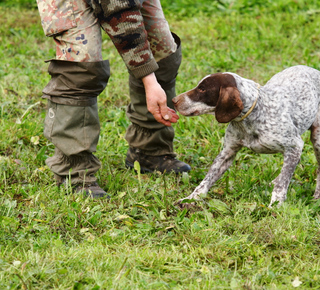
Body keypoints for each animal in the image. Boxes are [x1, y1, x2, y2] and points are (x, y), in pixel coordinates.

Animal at [172, 65, 320, 208]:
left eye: (202, 89)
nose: (174, 100)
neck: (251, 117)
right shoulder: (227, 152)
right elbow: (207, 180)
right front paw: (191, 198)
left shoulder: (294, 146)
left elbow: (282, 184)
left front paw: (275, 205)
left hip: (317, 140)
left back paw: (316, 197)